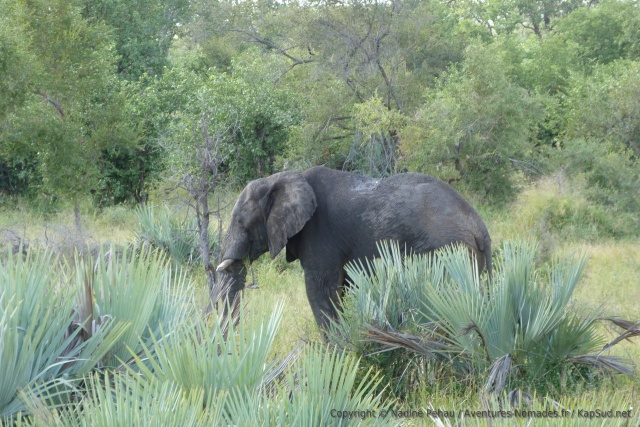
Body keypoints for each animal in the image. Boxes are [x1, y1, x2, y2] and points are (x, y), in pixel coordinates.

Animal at [216, 166, 492, 330]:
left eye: (240, 221)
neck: (281, 177)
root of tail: (480, 227)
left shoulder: (320, 236)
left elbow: (320, 290)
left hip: (446, 252)